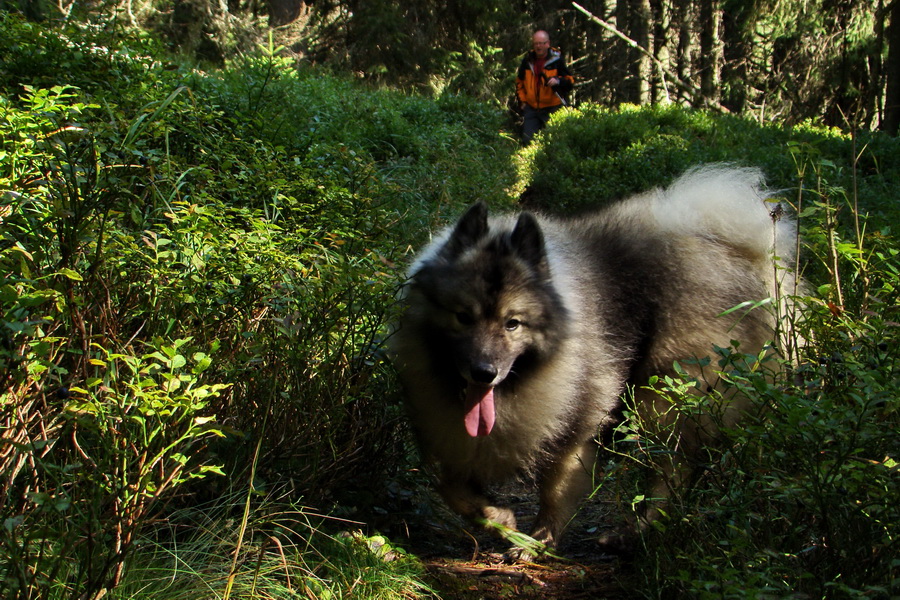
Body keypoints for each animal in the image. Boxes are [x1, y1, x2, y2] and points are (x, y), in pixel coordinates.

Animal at [390, 165, 800, 556]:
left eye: (512, 323)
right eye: (464, 316)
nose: (484, 373)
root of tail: (733, 252)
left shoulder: (573, 430)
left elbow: (554, 492)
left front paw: (538, 542)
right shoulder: (447, 440)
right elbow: (451, 489)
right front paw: (499, 519)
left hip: (664, 395)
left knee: (672, 470)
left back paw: (633, 534)